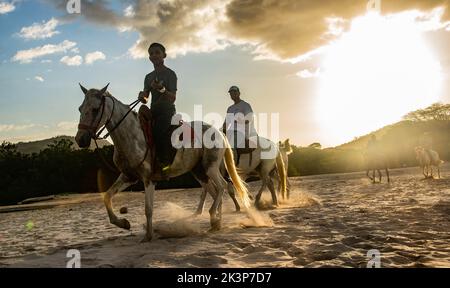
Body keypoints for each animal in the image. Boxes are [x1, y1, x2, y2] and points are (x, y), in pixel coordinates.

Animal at [78, 84, 253, 242]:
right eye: (80, 108)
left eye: (95, 109)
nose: (80, 139)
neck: (132, 134)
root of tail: (219, 133)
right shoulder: (128, 176)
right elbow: (107, 196)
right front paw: (123, 223)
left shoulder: (148, 179)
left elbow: (148, 209)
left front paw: (148, 236)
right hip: (199, 172)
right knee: (215, 191)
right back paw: (217, 223)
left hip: (211, 167)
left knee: (222, 186)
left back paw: (214, 217)